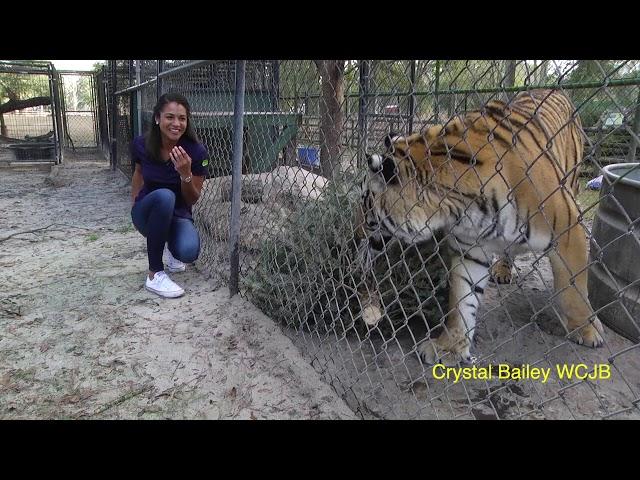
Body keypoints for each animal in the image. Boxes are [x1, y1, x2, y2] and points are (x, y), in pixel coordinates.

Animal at [358, 88, 604, 364]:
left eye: (365, 205)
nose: (357, 235)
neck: (463, 208)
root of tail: (556, 90)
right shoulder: (470, 248)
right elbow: (462, 299)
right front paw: (450, 346)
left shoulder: (568, 228)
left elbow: (574, 288)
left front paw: (587, 329)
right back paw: (503, 271)